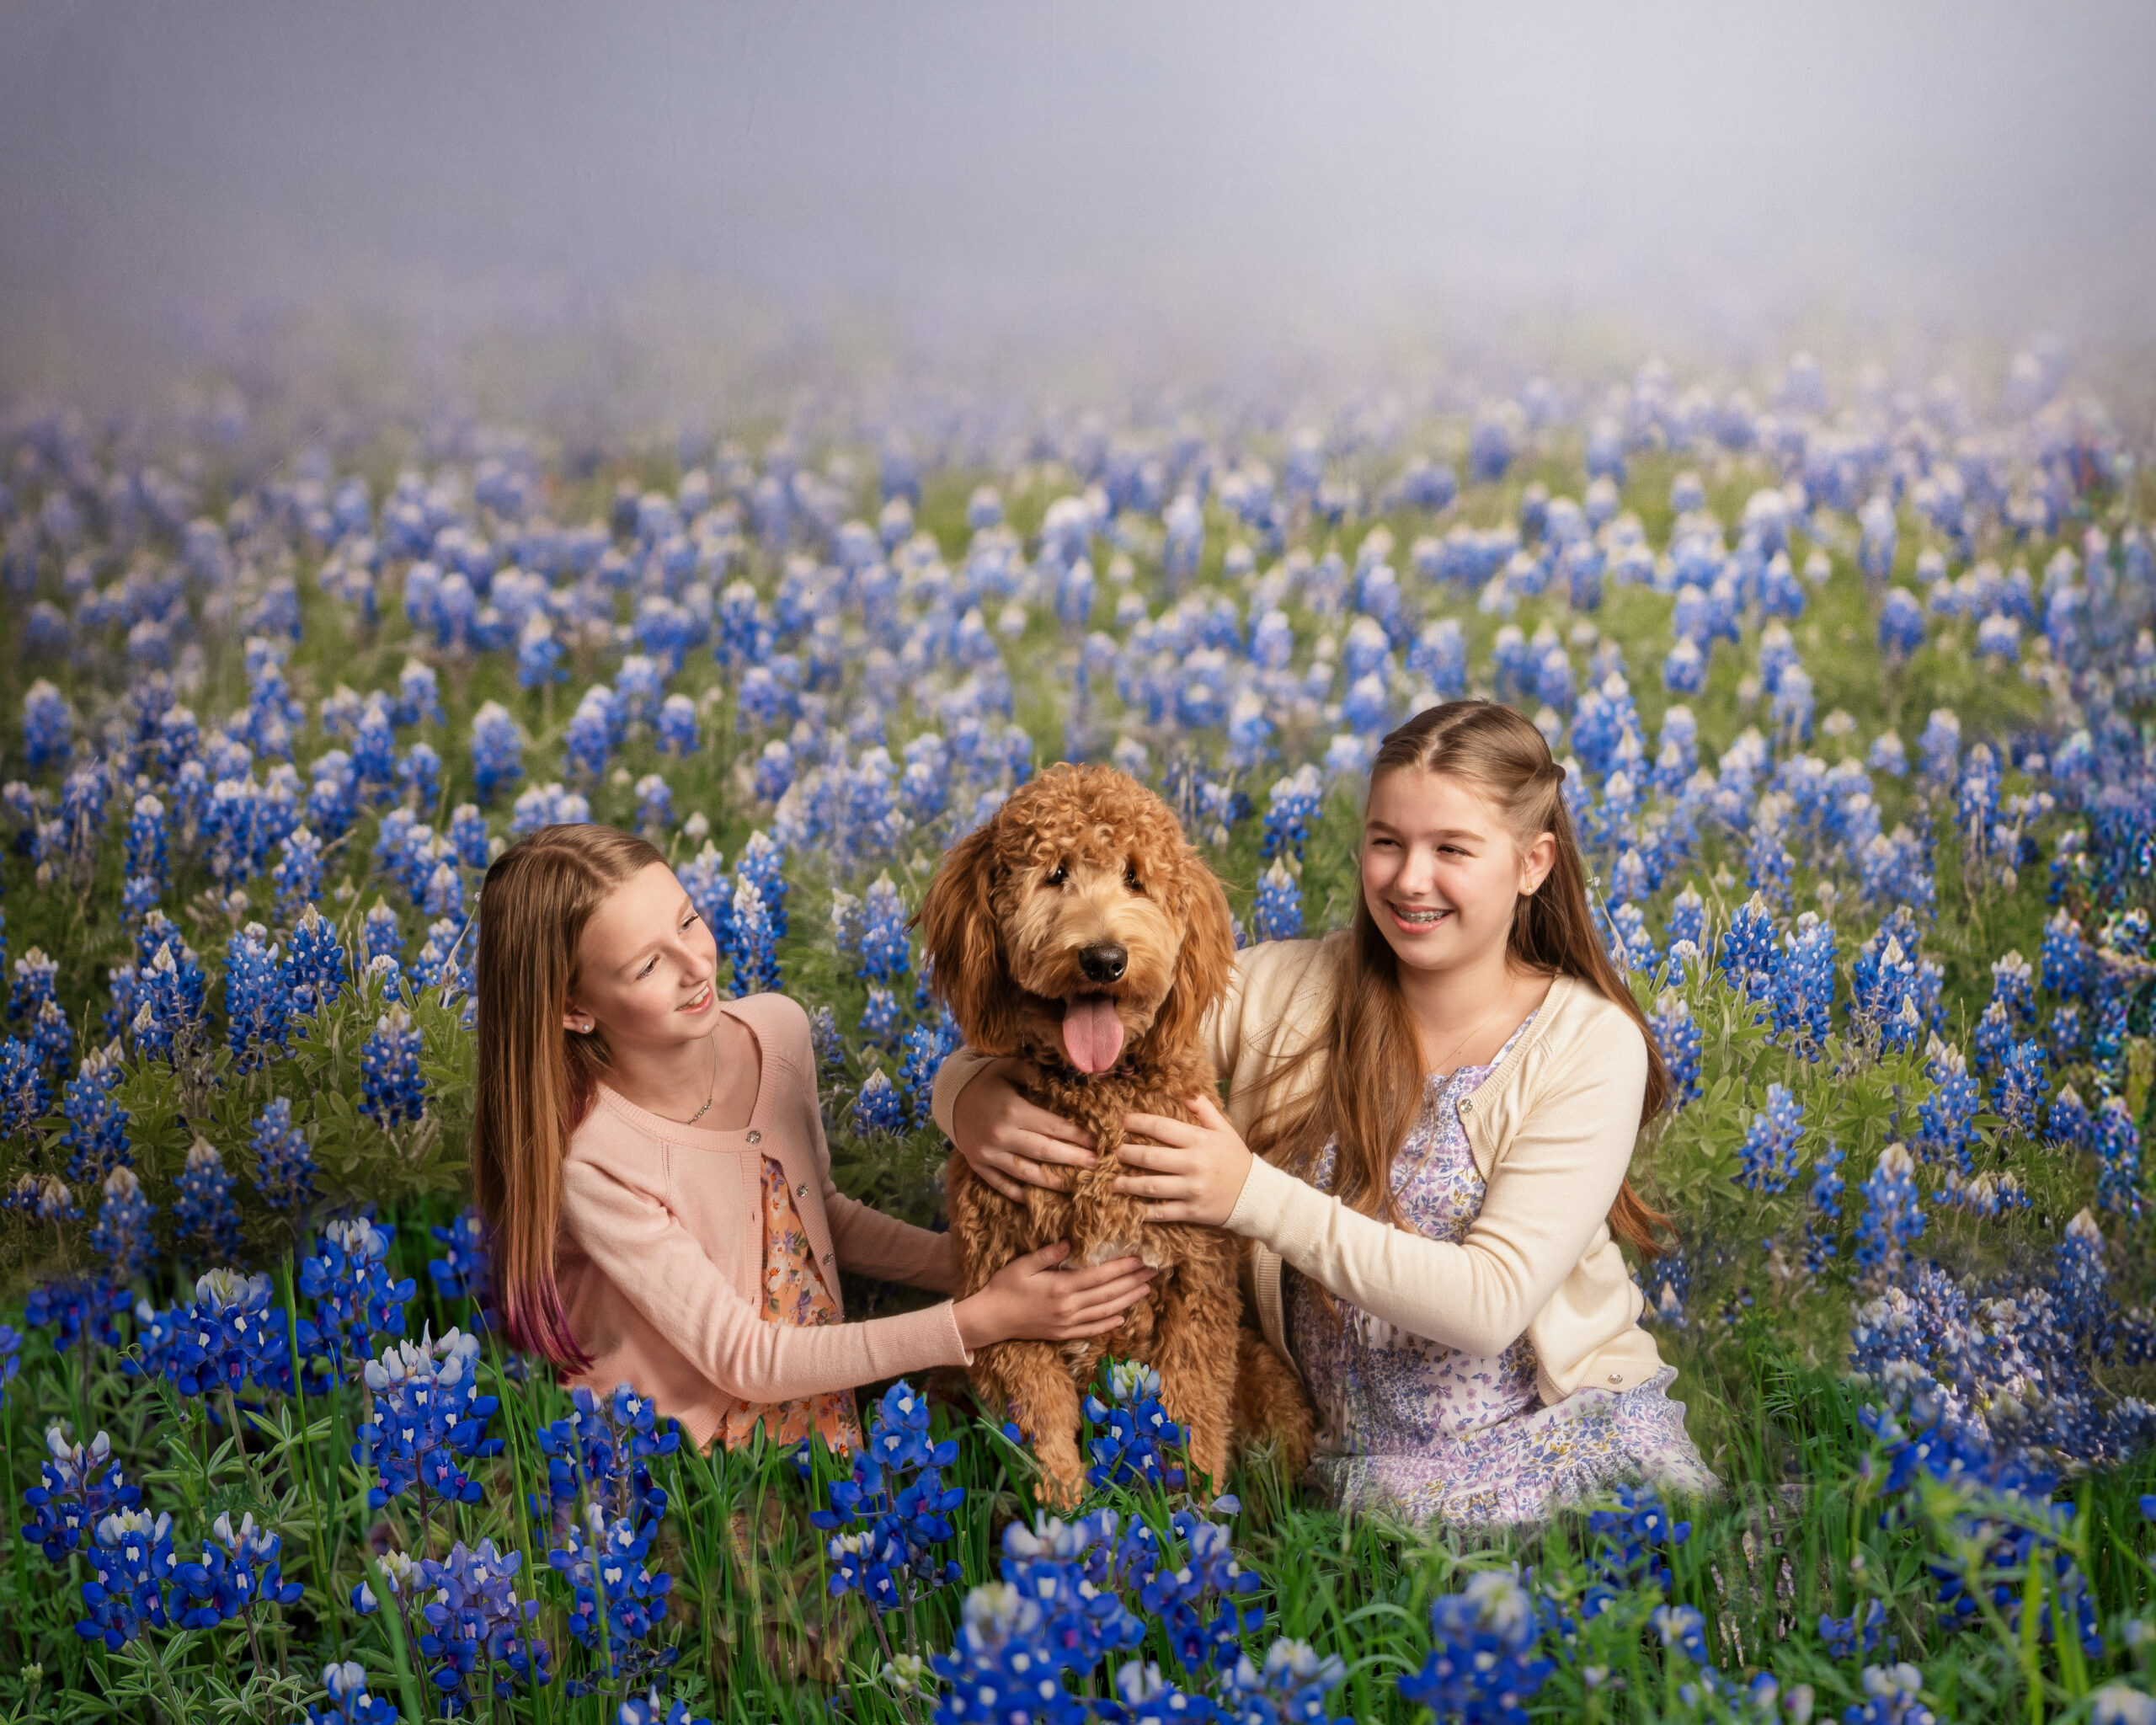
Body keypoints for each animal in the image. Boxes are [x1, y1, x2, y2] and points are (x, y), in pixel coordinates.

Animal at [914, 763, 1310, 1509]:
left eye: (1135, 878)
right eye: (1054, 873)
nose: (1103, 959)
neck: (1098, 1091)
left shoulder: (1195, 1286)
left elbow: (1191, 1414)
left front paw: (1190, 1511)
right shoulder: (1005, 1299)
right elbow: (1040, 1419)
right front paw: (1064, 1507)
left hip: (1270, 1382)